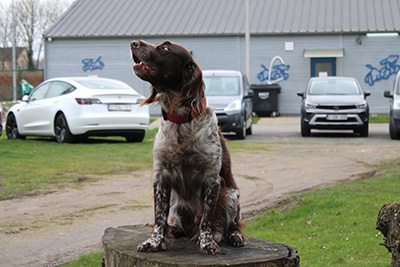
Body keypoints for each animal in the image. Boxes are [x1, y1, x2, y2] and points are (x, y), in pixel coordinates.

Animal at [130, 40, 245, 255]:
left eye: (165, 48)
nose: (134, 43)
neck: (180, 120)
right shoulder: (161, 177)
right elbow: (159, 218)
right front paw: (154, 242)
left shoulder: (213, 180)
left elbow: (207, 218)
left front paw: (207, 242)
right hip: (177, 204)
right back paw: (175, 230)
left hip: (231, 196)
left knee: (231, 224)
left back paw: (234, 236)